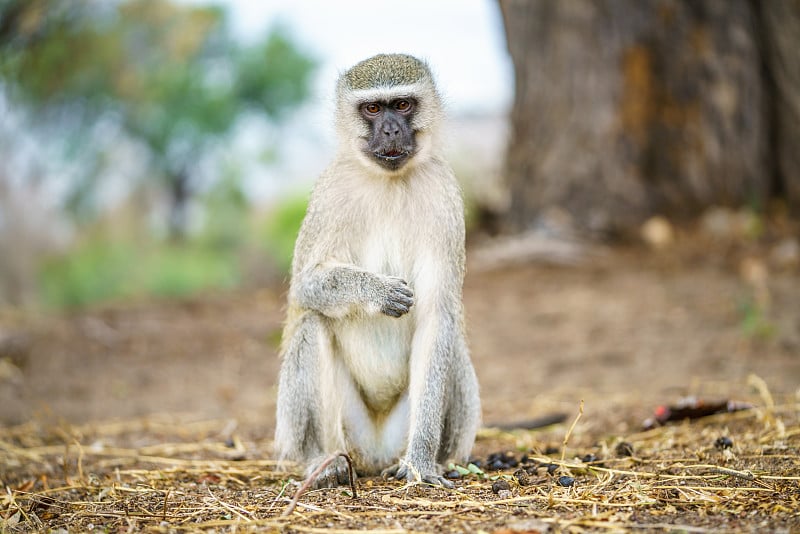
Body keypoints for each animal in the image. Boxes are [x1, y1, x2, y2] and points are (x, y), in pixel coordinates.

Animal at [276, 53, 478, 490]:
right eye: (372, 108)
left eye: (401, 105)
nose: (389, 129)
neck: (390, 182)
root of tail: (375, 452)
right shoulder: (330, 193)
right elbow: (305, 286)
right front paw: (377, 291)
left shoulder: (444, 196)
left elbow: (436, 316)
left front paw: (420, 462)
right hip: (351, 431)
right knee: (312, 323)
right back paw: (325, 462)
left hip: (397, 430)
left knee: (450, 338)